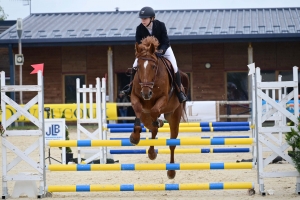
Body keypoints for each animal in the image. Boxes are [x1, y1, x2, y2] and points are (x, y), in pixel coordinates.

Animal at [130, 36, 189, 180]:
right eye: (137, 67)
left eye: (153, 66)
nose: (146, 93)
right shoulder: (135, 97)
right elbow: (139, 110)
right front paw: (134, 137)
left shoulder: (163, 99)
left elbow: (155, 111)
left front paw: (157, 121)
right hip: (148, 115)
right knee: (153, 129)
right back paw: (151, 152)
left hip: (174, 117)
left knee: (172, 143)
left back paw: (171, 172)